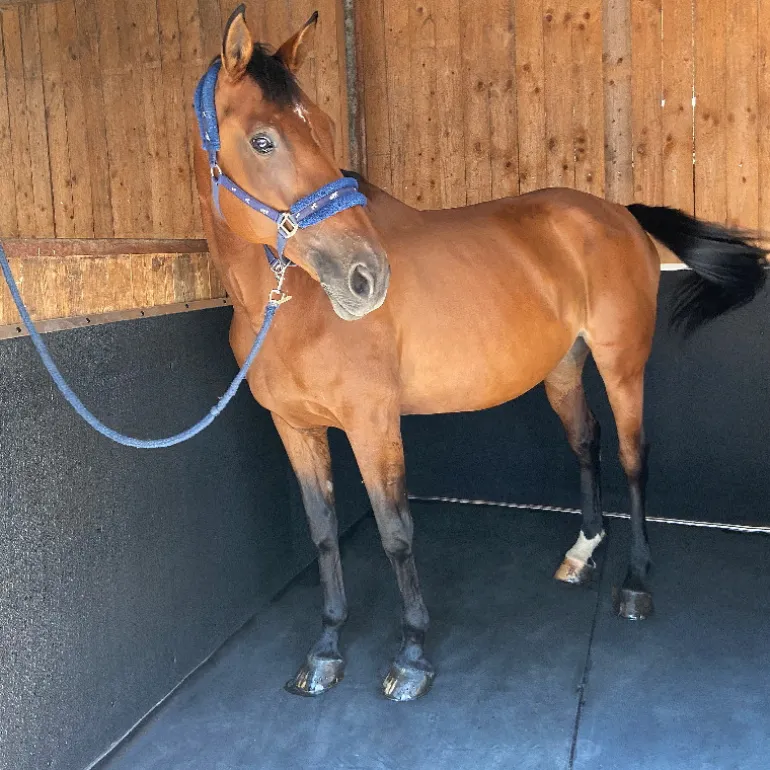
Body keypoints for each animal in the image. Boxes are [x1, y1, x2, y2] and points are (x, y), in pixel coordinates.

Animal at [194, 6, 768, 702]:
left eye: (328, 130)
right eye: (262, 142)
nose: (366, 277)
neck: (287, 306)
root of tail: (618, 214)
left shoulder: (372, 424)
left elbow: (395, 533)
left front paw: (412, 655)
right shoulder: (295, 428)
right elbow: (323, 533)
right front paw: (326, 649)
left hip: (621, 365)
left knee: (635, 458)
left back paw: (635, 583)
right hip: (563, 369)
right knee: (587, 440)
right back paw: (583, 552)